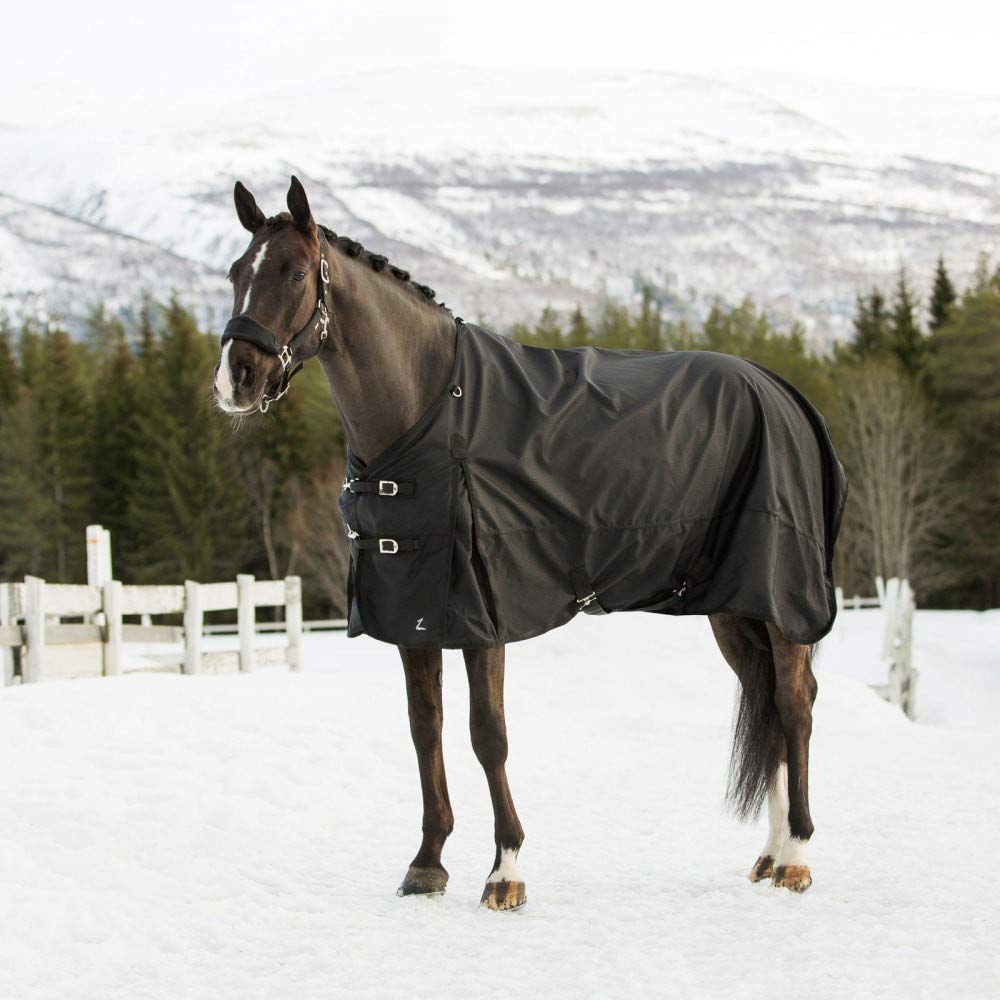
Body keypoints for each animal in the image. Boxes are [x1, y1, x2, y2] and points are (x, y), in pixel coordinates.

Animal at [213, 176, 845, 909]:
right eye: (236, 273)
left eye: (292, 272)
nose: (235, 379)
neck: (430, 410)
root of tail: (784, 394)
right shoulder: (413, 614)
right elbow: (424, 730)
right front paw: (427, 864)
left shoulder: (482, 613)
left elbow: (488, 735)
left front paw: (504, 871)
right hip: (735, 604)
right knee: (767, 702)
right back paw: (769, 855)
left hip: (780, 597)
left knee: (795, 704)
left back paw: (797, 857)